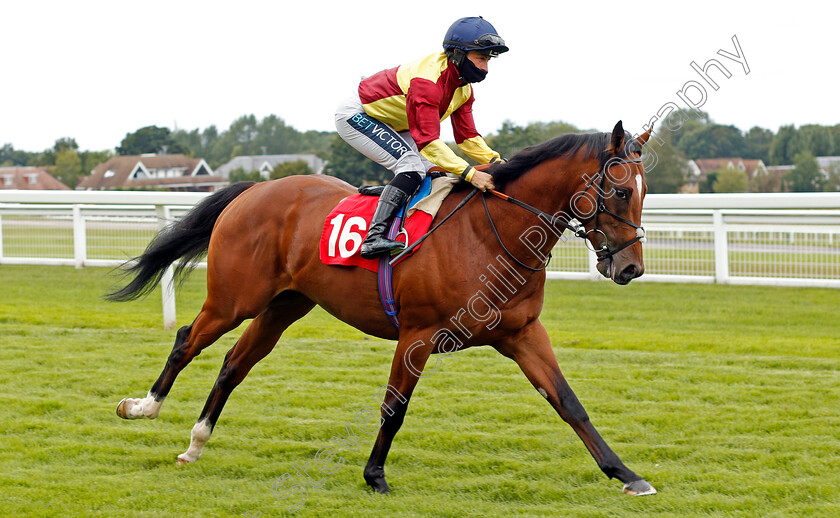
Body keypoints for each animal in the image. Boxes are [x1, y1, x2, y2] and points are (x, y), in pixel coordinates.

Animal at [110, 121, 656, 496]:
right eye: (620, 190)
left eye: (644, 192)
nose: (631, 267)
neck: (490, 233)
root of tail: (256, 188)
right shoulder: (418, 334)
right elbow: (394, 408)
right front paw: (375, 476)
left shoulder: (522, 334)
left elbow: (568, 402)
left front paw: (626, 474)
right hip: (234, 298)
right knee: (187, 340)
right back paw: (142, 406)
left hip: (285, 306)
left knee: (232, 365)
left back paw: (196, 442)